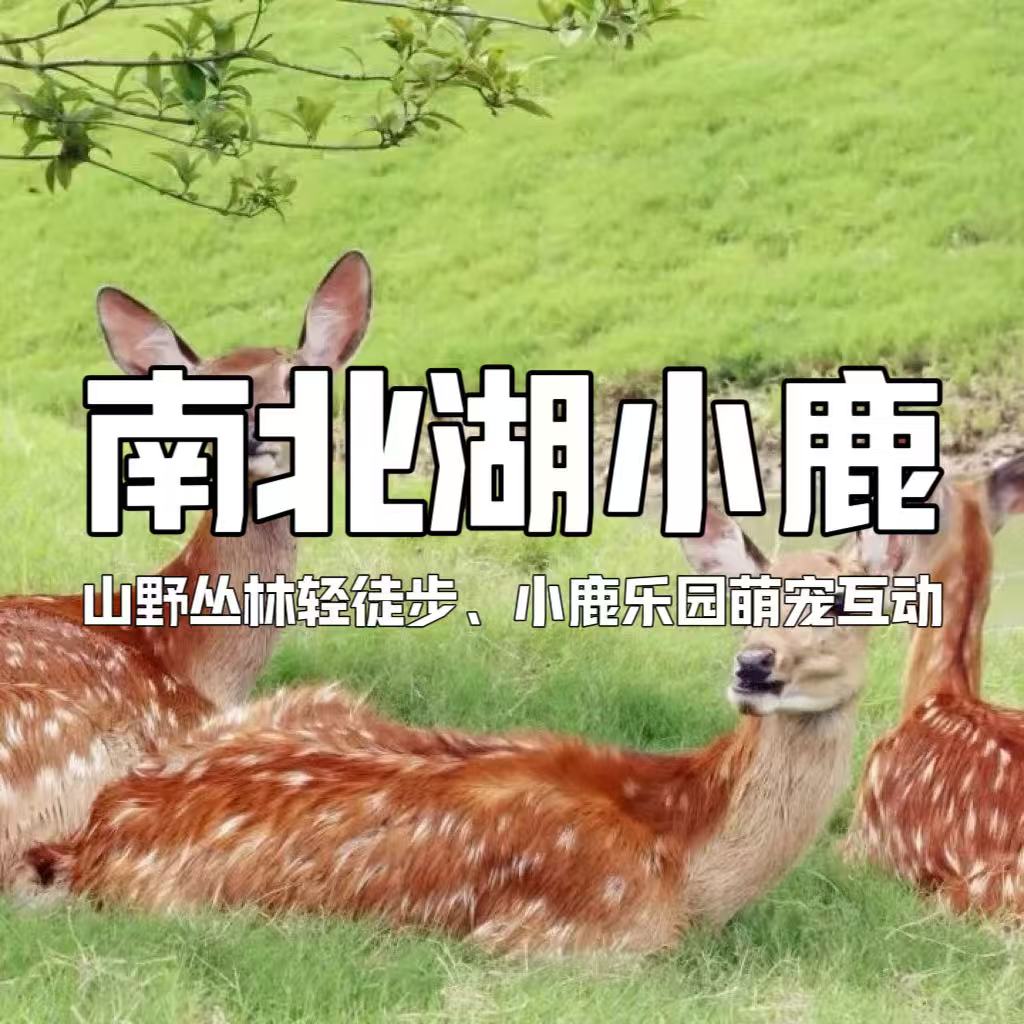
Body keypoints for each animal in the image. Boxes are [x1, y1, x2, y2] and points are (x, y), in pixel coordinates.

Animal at [19, 508, 882, 956]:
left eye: (847, 602)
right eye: (745, 601)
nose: (755, 666)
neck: (686, 862)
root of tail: (93, 836)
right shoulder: (564, 941)